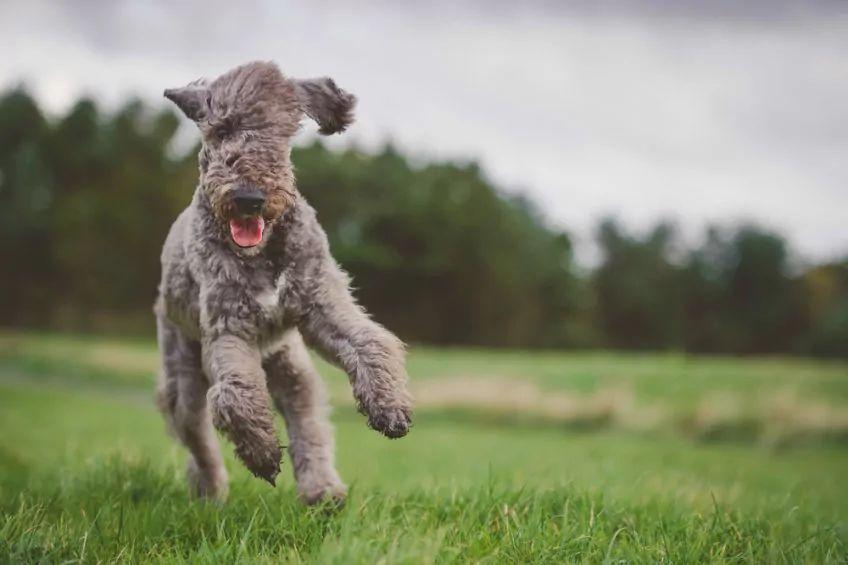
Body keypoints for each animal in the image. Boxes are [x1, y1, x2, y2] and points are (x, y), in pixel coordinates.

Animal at [156, 61, 414, 502]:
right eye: (221, 131)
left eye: (281, 132)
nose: (248, 198)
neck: (261, 255)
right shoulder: (229, 328)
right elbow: (236, 395)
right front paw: (260, 452)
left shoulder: (322, 307)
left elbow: (369, 342)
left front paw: (389, 406)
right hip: (184, 368)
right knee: (197, 431)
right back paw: (210, 488)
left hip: (290, 365)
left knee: (307, 416)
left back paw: (322, 490)